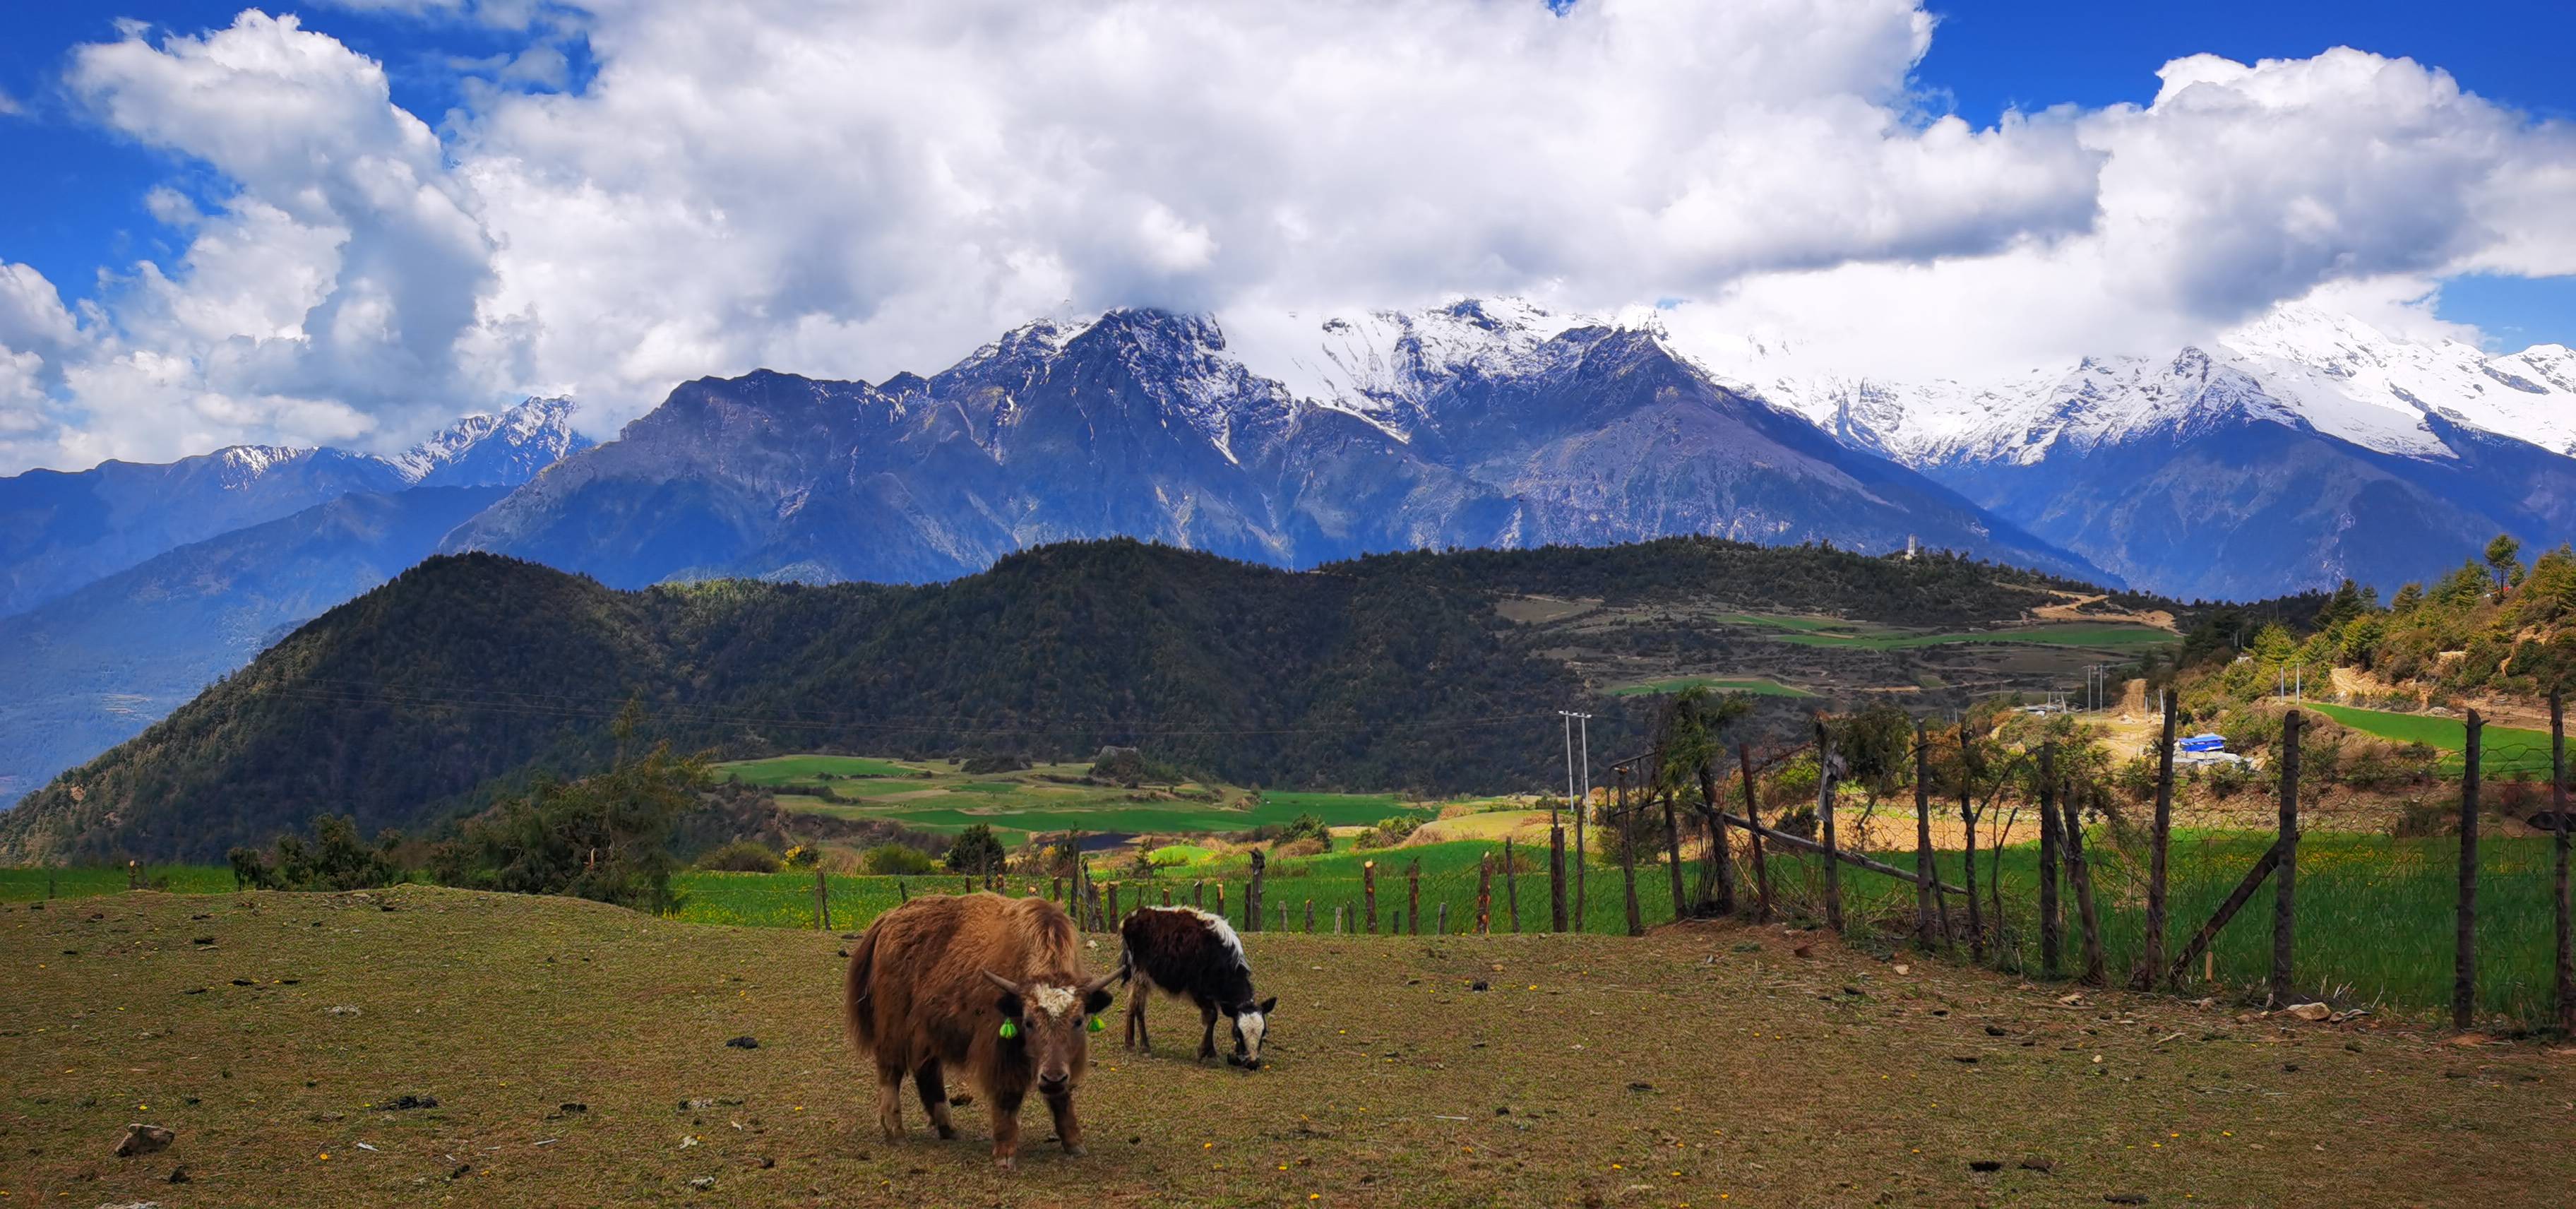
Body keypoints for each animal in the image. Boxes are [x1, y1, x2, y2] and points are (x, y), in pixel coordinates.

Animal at [1118, 907, 1277, 1067]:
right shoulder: (1199, 991)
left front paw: (1211, 1053)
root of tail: (1133, 916)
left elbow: (1211, 1019)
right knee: (1138, 1008)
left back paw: (1129, 1043)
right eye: (1238, 1032)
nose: (1252, 1063)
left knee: (1131, 1004)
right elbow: (1212, 1016)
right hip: (1141, 976)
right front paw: (1203, 1052)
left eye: (1264, 1033)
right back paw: (1144, 1047)